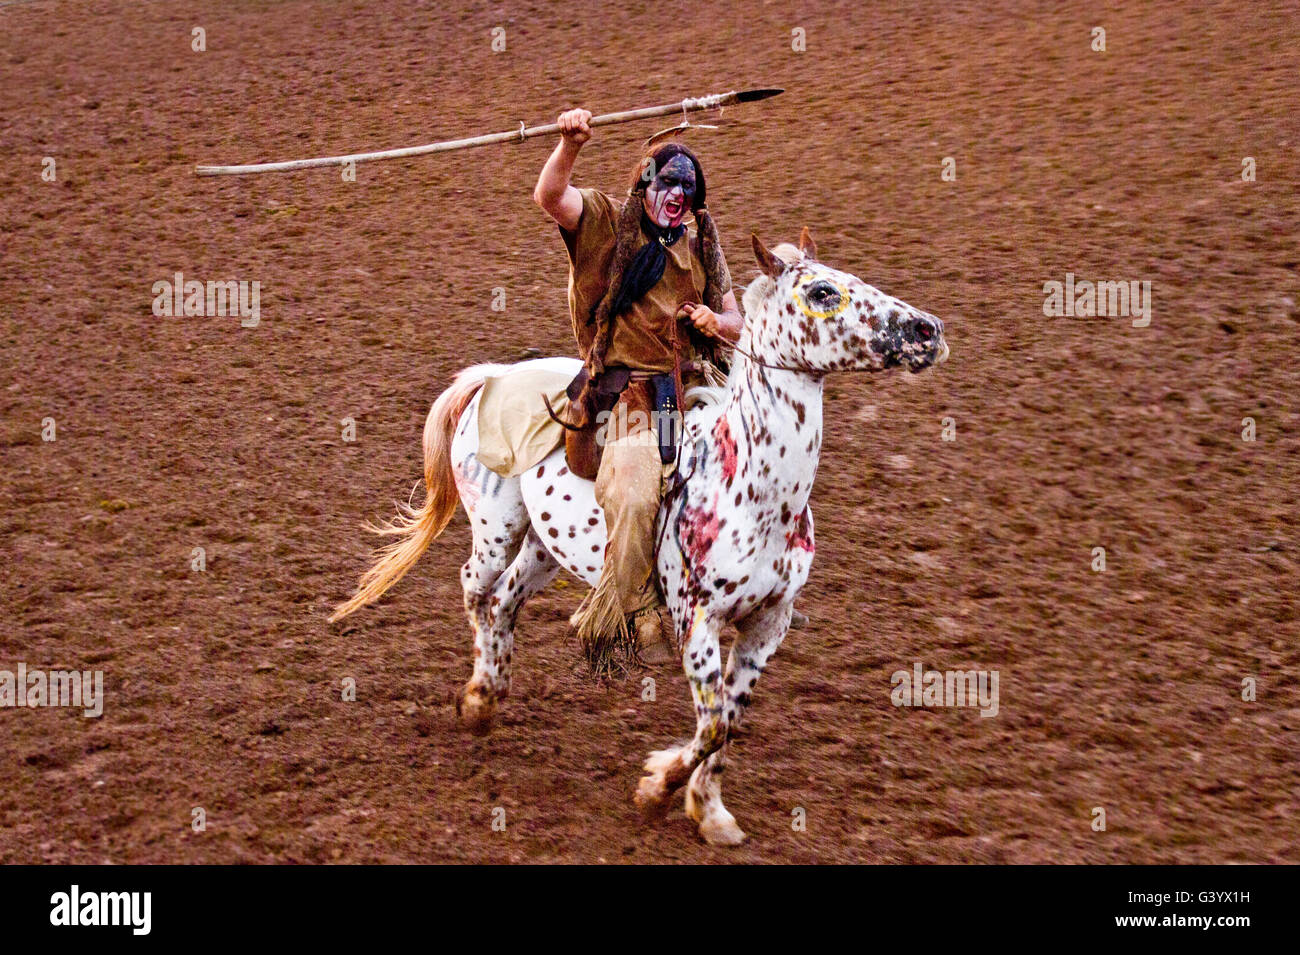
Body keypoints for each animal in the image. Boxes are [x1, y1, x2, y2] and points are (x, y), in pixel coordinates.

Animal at [330, 231, 951, 841]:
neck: (754, 491)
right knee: (474, 588)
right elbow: (712, 724)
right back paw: (479, 697)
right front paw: (656, 787)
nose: (929, 330)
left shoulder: (768, 625)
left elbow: (729, 722)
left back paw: (496, 688)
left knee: (504, 600)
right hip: (496, 530)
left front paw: (710, 811)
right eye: (823, 292)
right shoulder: (696, 621)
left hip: (545, 548)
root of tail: (494, 377)